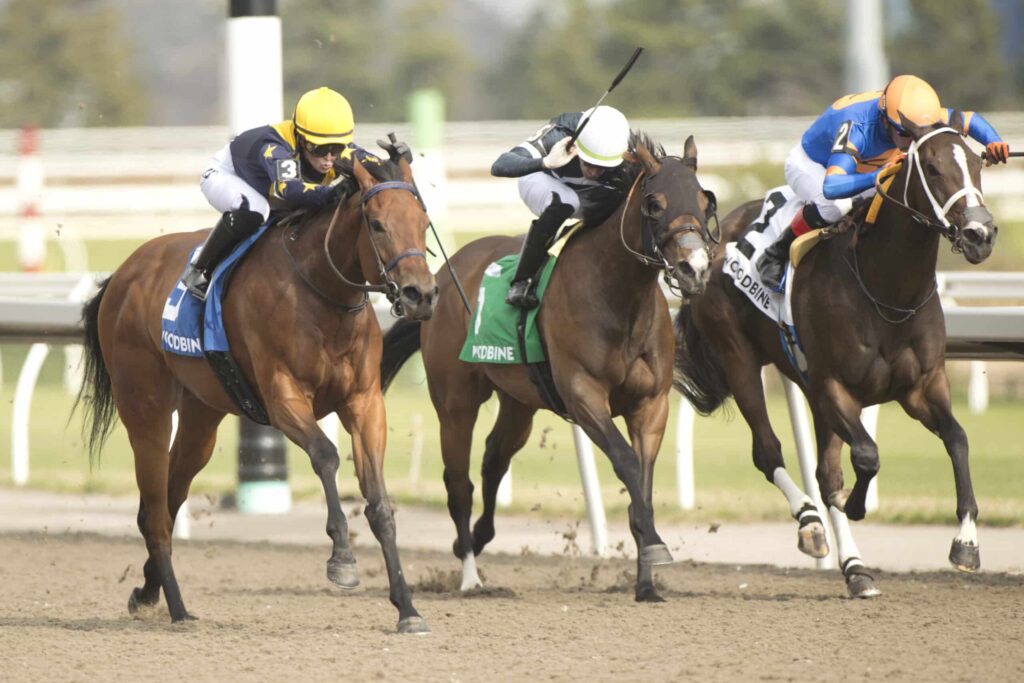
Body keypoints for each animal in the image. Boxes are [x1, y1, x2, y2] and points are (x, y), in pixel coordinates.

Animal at [73, 154, 440, 634]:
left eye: (423, 222)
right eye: (377, 224)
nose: (421, 295)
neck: (323, 292)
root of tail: (122, 274)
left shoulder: (364, 402)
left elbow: (378, 501)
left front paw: (408, 608)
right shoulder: (282, 397)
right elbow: (325, 455)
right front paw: (342, 559)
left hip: (201, 418)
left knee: (166, 501)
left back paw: (148, 592)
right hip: (144, 409)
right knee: (155, 512)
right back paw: (178, 608)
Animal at [380, 135, 716, 602]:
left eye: (705, 201)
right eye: (655, 203)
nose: (695, 269)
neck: (619, 298)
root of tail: (440, 278)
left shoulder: (651, 405)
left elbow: (643, 484)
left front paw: (647, 580)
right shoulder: (582, 395)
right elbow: (626, 463)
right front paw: (654, 545)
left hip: (519, 400)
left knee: (494, 458)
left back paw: (479, 539)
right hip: (455, 402)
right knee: (459, 483)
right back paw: (469, 575)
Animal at [675, 114, 995, 593]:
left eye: (976, 164)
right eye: (933, 168)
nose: (981, 235)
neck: (886, 290)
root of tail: (713, 238)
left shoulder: (921, 386)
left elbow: (957, 439)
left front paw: (967, 544)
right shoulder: (833, 386)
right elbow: (866, 455)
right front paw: (858, 506)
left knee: (826, 474)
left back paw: (856, 569)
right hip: (740, 360)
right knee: (769, 452)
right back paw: (810, 524)